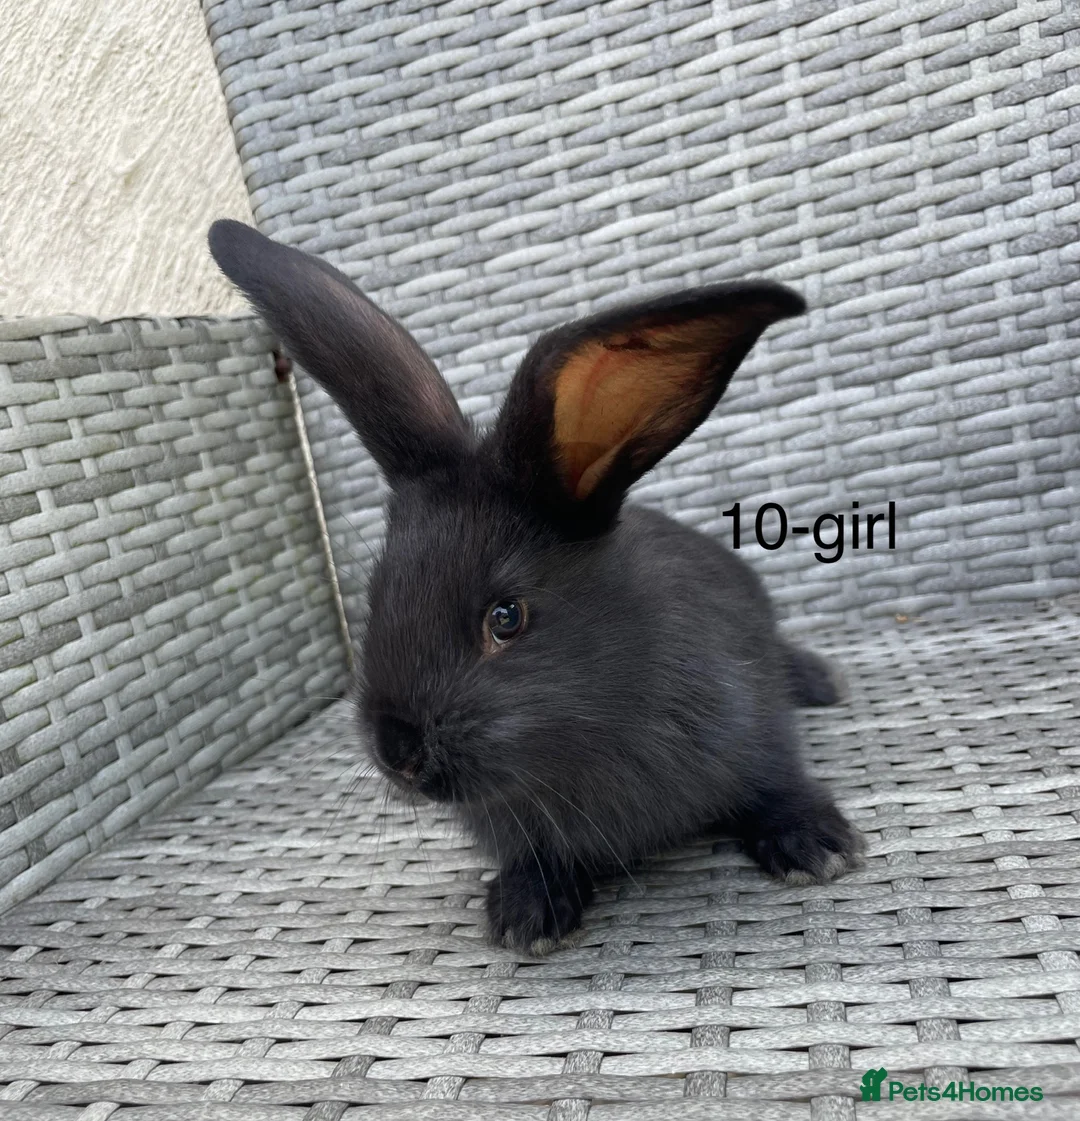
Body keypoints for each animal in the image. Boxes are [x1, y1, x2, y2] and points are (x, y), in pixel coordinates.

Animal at [208, 219, 864, 954]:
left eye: (506, 617)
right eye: (376, 598)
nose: (398, 753)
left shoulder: (753, 726)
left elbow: (775, 783)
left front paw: (816, 845)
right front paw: (526, 915)